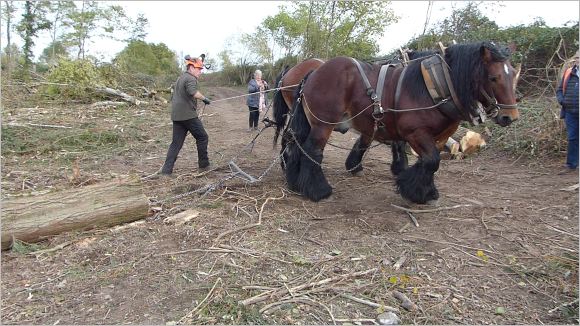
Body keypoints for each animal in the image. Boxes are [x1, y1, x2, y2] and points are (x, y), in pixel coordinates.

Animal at [284, 41, 520, 204]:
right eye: (493, 78)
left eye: (513, 75)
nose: (510, 117)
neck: (433, 87)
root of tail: (313, 72)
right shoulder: (415, 132)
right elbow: (431, 160)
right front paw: (413, 190)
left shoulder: (437, 136)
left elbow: (428, 161)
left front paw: (423, 189)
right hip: (323, 124)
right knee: (312, 151)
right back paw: (318, 190)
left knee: (297, 147)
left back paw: (295, 182)